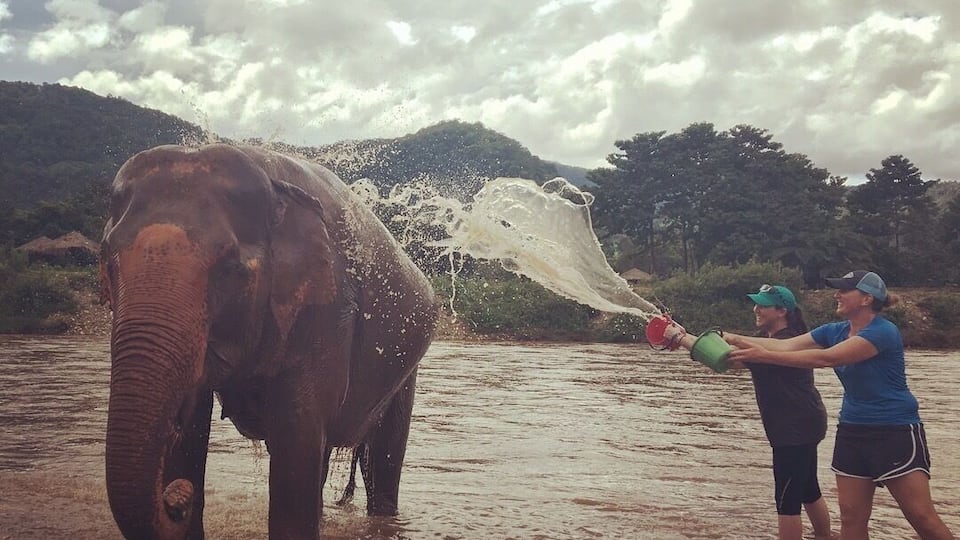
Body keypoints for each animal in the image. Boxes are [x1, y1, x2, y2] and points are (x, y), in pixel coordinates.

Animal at [98, 143, 439, 539]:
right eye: (109, 264)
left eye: (230, 269)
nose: (175, 496)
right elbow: (192, 432)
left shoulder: (328, 310)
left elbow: (297, 439)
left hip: (405, 371)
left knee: (381, 459)